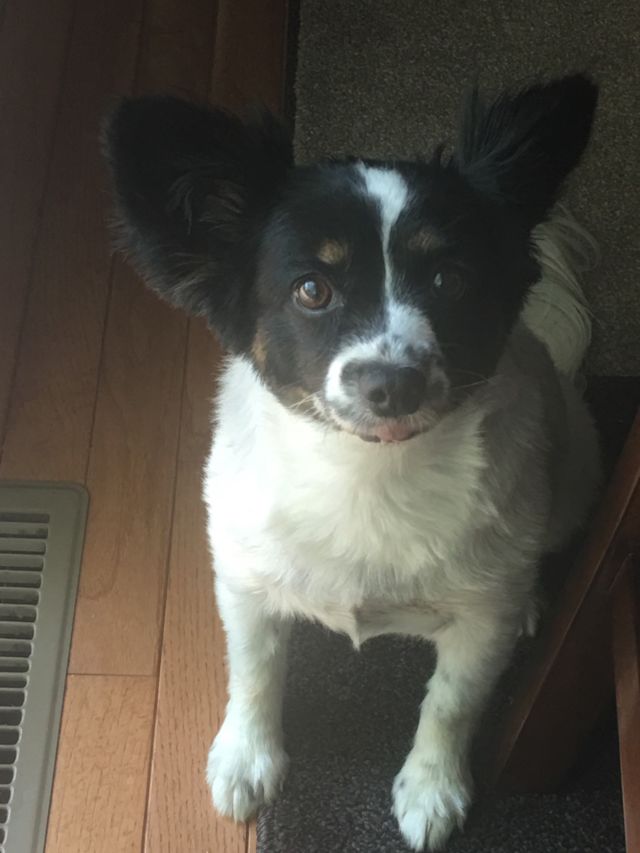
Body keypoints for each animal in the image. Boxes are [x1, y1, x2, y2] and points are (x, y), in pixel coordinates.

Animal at [104, 74, 600, 850]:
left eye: (450, 280)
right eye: (313, 289)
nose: (392, 383)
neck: (369, 475)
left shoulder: (478, 622)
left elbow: (453, 702)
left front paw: (432, 788)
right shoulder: (243, 576)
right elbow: (254, 670)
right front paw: (247, 758)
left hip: (576, 472)